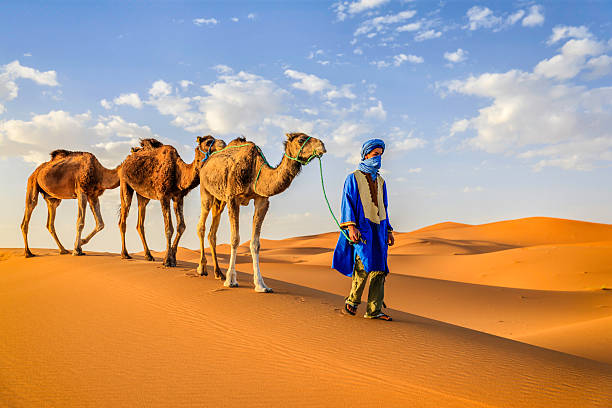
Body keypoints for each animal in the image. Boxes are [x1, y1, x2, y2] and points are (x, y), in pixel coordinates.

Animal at [118, 135, 226, 266]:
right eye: (208, 142)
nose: (223, 143)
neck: (179, 173)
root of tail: (126, 160)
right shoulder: (163, 196)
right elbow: (168, 228)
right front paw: (167, 260)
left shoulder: (178, 197)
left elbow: (181, 226)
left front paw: (173, 258)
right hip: (124, 183)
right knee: (123, 217)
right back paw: (125, 254)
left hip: (143, 195)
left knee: (140, 222)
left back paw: (148, 255)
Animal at [198, 132, 328, 292]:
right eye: (301, 139)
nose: (322, 145)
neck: (254, 170)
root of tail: (205, 163)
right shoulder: (233, 198)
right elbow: (235, 239)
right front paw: (231, 280)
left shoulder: (262, 200)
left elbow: (255, 243)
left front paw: (261, 285)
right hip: (205, 190)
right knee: (201, 225)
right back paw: (202, 269)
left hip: (220, 200)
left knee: (212, 232)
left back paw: (218, 273)